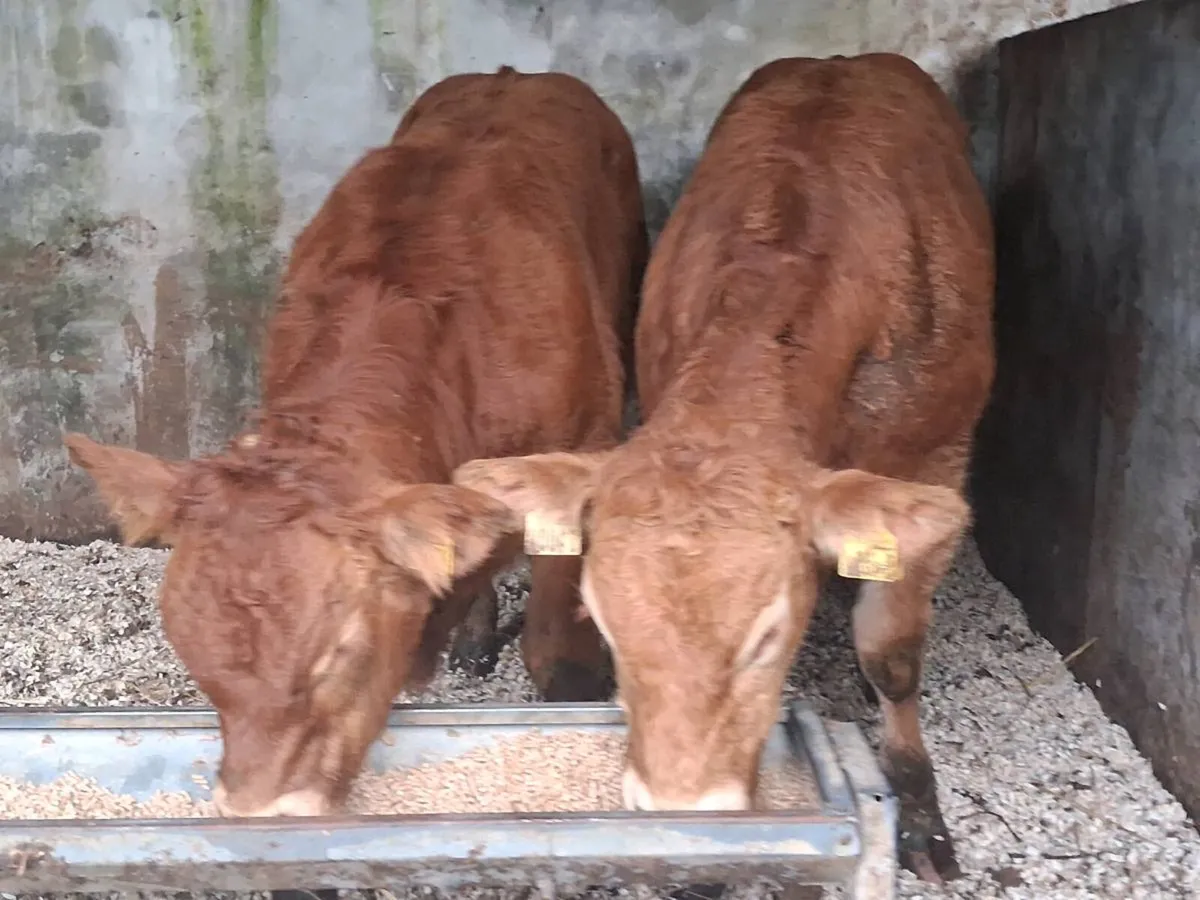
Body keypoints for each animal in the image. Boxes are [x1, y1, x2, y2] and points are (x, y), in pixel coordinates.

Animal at [63, 64, 648, 819]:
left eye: (339, 654)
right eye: (194, 658)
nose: (257, 813)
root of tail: (514, 74)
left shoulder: (584, 448)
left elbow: (558, 658)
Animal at [451, 53, 995, 884]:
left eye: (770, 636)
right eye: (607, 625)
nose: (682, 806)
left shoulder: (939, 457)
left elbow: (892, 655)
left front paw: (920, 811)